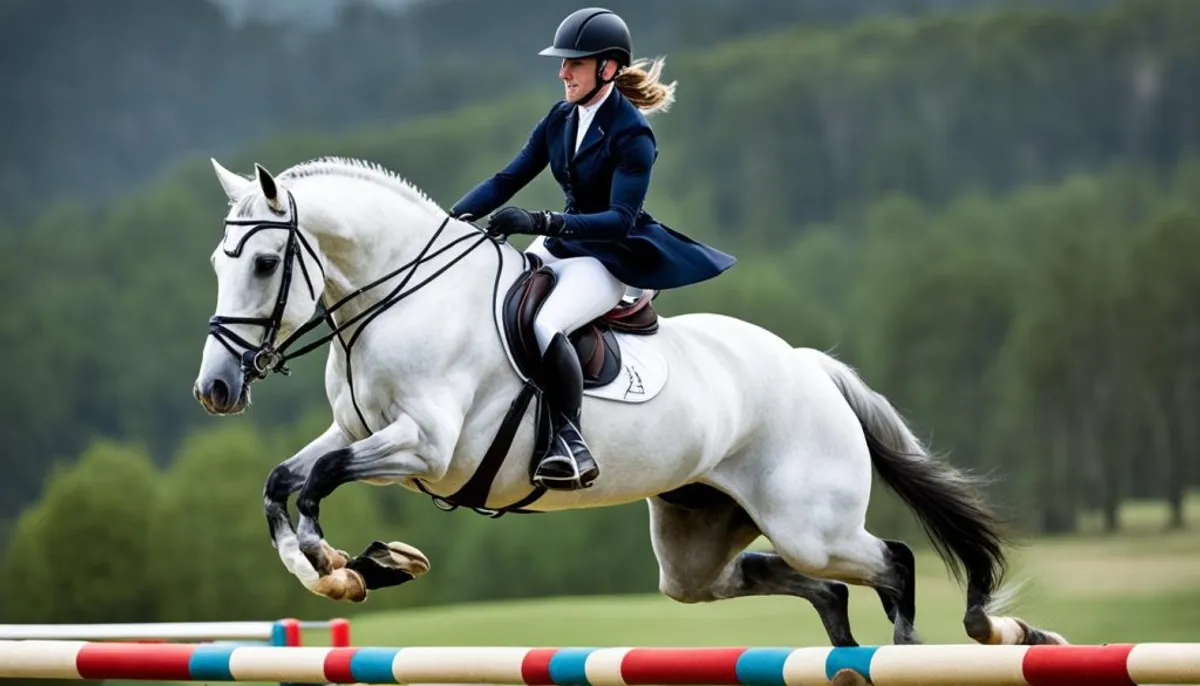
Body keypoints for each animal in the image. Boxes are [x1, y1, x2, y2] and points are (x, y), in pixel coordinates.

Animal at [192, 157, 1065, 647]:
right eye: (217, 263)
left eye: (265, 263)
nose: (216, 390)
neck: (401, 299)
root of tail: (810, 368)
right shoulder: (360, 429)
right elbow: (282, 480)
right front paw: (348, 570)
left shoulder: (426, 447)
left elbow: (318, 479)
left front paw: (346, 566)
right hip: (699, 540)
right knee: (810, 585)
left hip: (812, 523)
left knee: (892, 563)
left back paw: (937, 643)